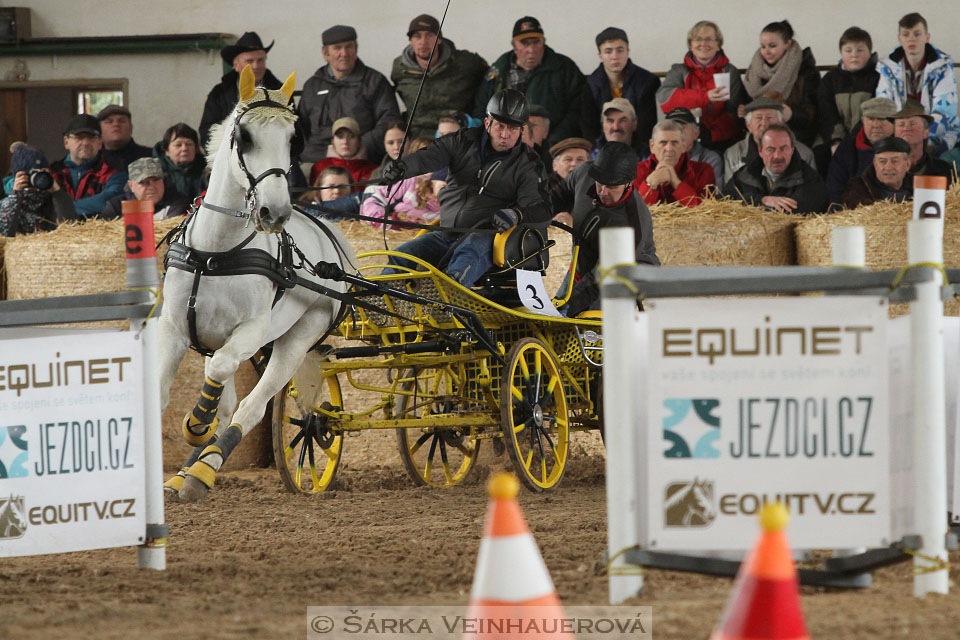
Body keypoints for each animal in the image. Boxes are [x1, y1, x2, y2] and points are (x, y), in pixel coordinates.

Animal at [159, 66, 354, 504]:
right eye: (244, 136)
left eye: (292, 138)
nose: (275, 212)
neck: (215, 254)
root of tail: (332, 237)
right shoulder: (174, 329)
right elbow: (162, 391)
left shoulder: (252, 331)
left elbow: (223, 375)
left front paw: (196, 424)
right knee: (229, 398)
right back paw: (185, 473)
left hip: (299, 338)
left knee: (253, 405)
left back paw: (204, 469)